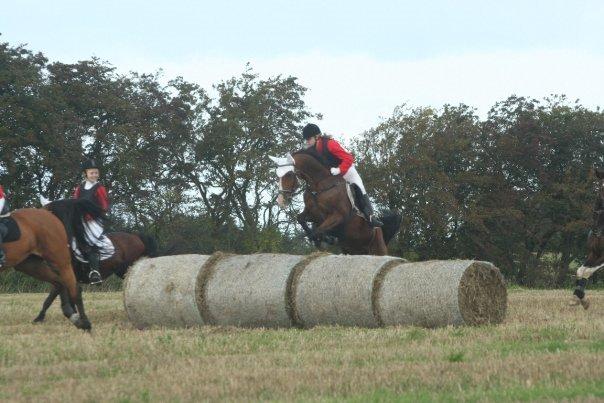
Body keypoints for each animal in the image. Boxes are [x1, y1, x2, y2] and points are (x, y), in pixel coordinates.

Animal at [22, 200, 158, 324]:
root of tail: (136, 236)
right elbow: (57, 298)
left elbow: (50, 298)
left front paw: (39, 318)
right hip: (121, 270)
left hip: (127, 267)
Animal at [274, 152, 402, 256]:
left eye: (289, 174)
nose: (280, 200)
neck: (319, 186)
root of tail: (379, 231)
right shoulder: (312, 214)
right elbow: (300, 219)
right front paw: (318, 239)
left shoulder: (338, 216)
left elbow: (319, 230)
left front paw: (326, 239)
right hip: (353, 250)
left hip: (377, 248)